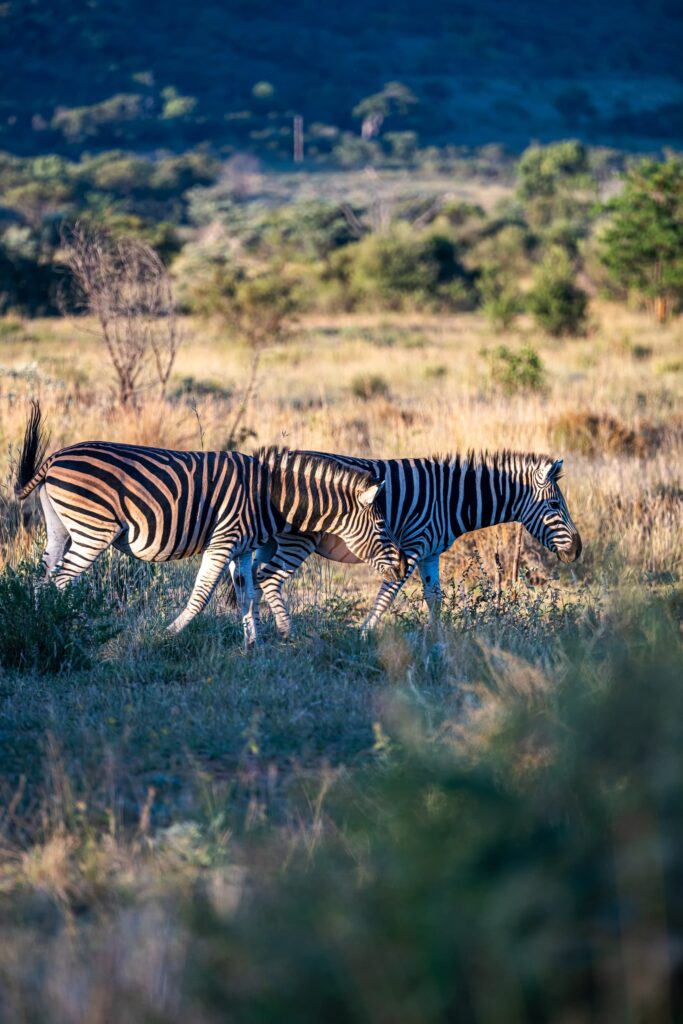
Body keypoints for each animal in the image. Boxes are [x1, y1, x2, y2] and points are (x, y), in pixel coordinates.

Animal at [14, 403, 405, 643]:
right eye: (382, 527)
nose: (401, 567)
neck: (268, 495)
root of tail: (54, 458)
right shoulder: (223, 540)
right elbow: (201, 595)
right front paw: (168, 633)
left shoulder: (242, 549)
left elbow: (247, 595)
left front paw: (253, 645)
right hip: (94, 530)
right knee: (62, 581)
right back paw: (68, 629)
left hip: (61, 529)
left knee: (42, 580)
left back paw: (43, 626)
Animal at [229, 450, 581, 634]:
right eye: (554, 506)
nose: (577, 550)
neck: (450, 499)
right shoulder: (412, 544)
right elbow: (388, 592)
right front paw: (365, 632)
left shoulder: (430, 552)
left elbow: (434, 597)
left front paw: (437, 638)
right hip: (295, 541)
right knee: (268, 578)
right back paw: (286, 633)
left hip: (270, 541)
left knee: (250, 579)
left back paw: (256, 634)